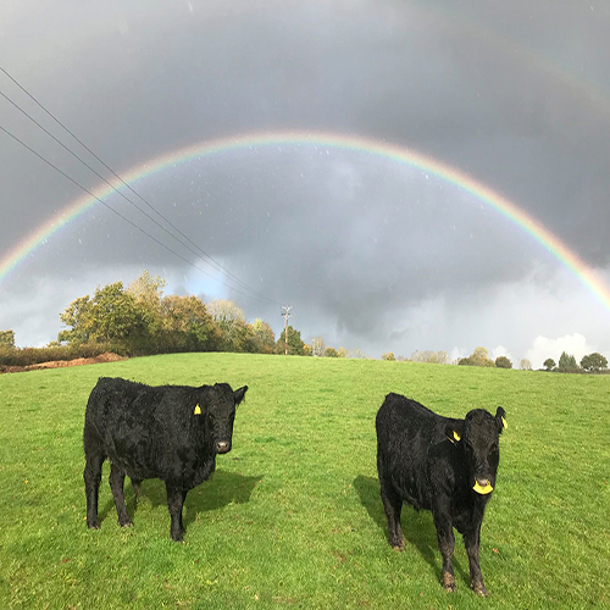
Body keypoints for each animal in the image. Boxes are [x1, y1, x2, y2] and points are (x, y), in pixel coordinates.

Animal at [83, 378, 247, 540]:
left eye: (232, 414)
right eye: (210, 415)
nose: (222, 445)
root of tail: (104, 381)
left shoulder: (186, 474)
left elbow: (182, 501)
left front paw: (181, 528)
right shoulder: (174, 473)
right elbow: (176, 504)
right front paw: (176, 535)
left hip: (119, 455)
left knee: (115, 481)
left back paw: (125, 520)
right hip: (93, 445)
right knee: (92, 477)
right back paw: (92, 522)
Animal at [372, 390, 506, 592]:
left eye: (494, 445)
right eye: (467, 445)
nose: (482, 481)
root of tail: (393, 396)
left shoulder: (478, 513)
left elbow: (473, 547)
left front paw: (479, 584)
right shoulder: (441, 505)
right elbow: (447, 544)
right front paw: (449, 580)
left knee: (397, 510)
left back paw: (401, 540)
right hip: (385, 477)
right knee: (390, 509)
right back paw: (396, 542)